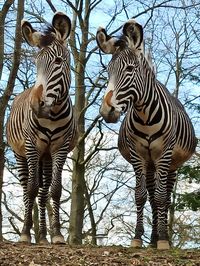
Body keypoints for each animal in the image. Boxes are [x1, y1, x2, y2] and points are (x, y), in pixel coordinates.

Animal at [5, 12, 77, 245]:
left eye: (58, 61)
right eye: (36, 63)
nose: (36, 105)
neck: (51, 115)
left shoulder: (60, 148)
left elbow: (54, 190)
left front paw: (57, 234)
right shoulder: (31, 146)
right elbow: (31, 189)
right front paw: (25, 234)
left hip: (46, 156)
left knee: (44, 191)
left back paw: (44, 236)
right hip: (21, 154)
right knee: (27, 189)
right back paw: (30, 231)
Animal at [95, 19, 197, 249]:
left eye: (130, 69)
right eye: (108, 71)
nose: (106, 111)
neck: (145, 117)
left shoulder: (164, 155)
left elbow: (161, 198)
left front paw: (163, 240)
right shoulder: (138, 156)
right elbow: (141, 196)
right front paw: (137, 237)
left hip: (172, 165)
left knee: (165, 197)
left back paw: (161, 237)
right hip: (151, 164)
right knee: (151, 196)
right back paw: (152, 239)